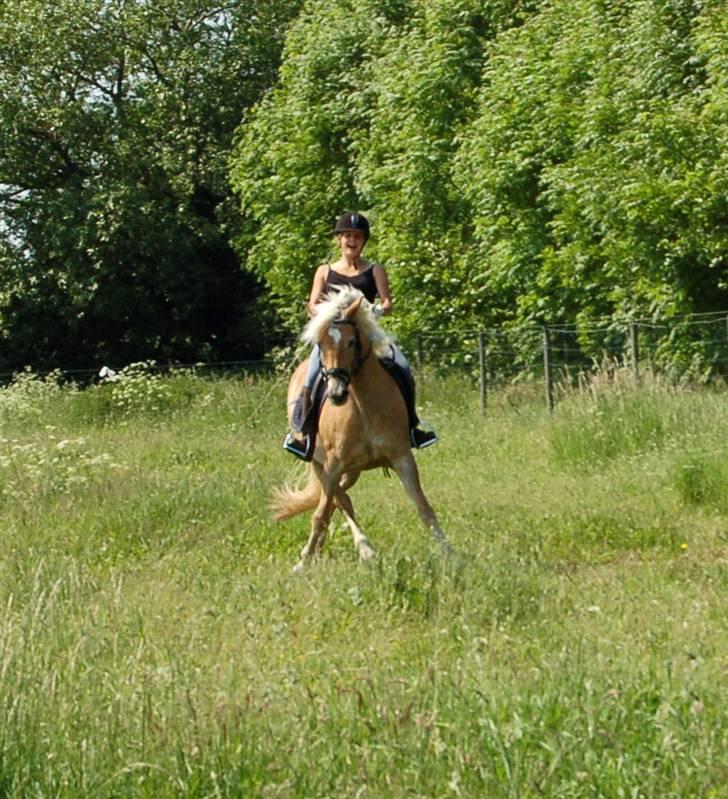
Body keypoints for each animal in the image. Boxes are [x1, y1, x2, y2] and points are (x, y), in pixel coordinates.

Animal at [270, 284, 446, 572]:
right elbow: (321, 513)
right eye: (321, 344)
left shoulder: (402, 458)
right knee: (338, 501)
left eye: (352, 342)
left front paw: (450, 553)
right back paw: (360, 549)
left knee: (336, 499)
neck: (364, 406)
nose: (336, 393)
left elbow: (424, 506)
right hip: (319, 462)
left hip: (352, 471)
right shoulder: (332, 464)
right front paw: (302, 563)